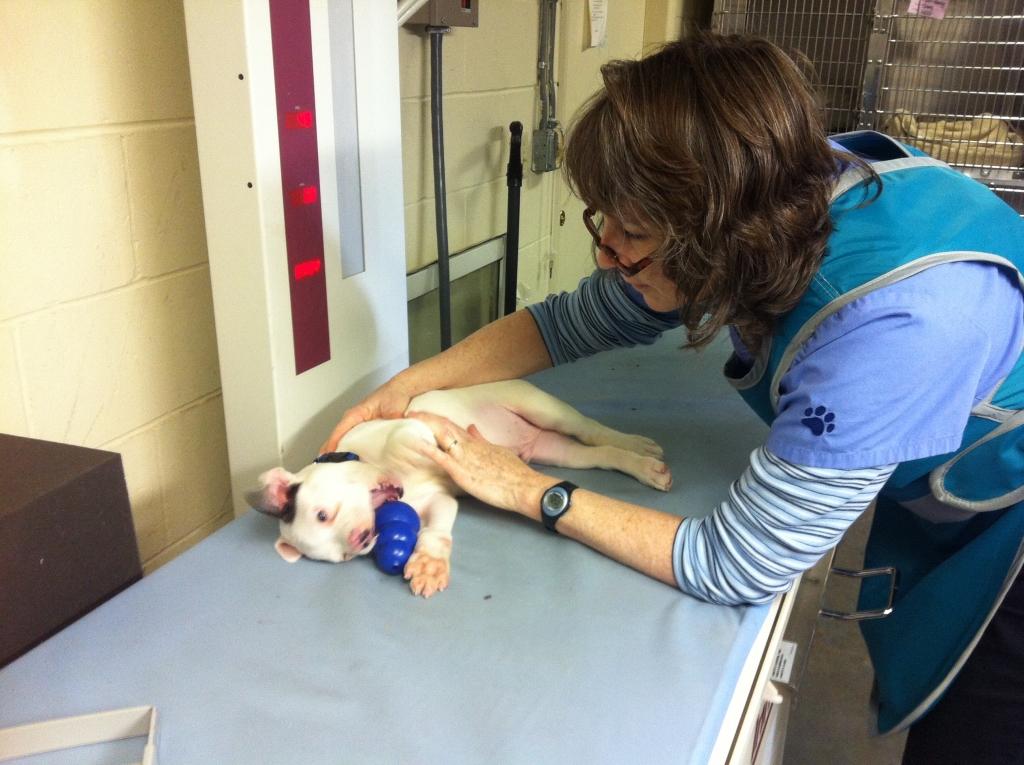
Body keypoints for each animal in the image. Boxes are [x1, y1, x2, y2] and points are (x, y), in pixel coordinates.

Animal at [249, 380, 671, 598]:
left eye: (323, 514)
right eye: (342, 557)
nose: (362, 539)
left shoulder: (402, 427)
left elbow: (407, 433)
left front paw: (421, 446)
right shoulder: (439, 503)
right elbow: (438, 531)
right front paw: (430, 564)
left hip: (543, 409)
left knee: (593, 430)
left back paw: (639, 448)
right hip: (557, 451)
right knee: (597, 453)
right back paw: (641, 465)